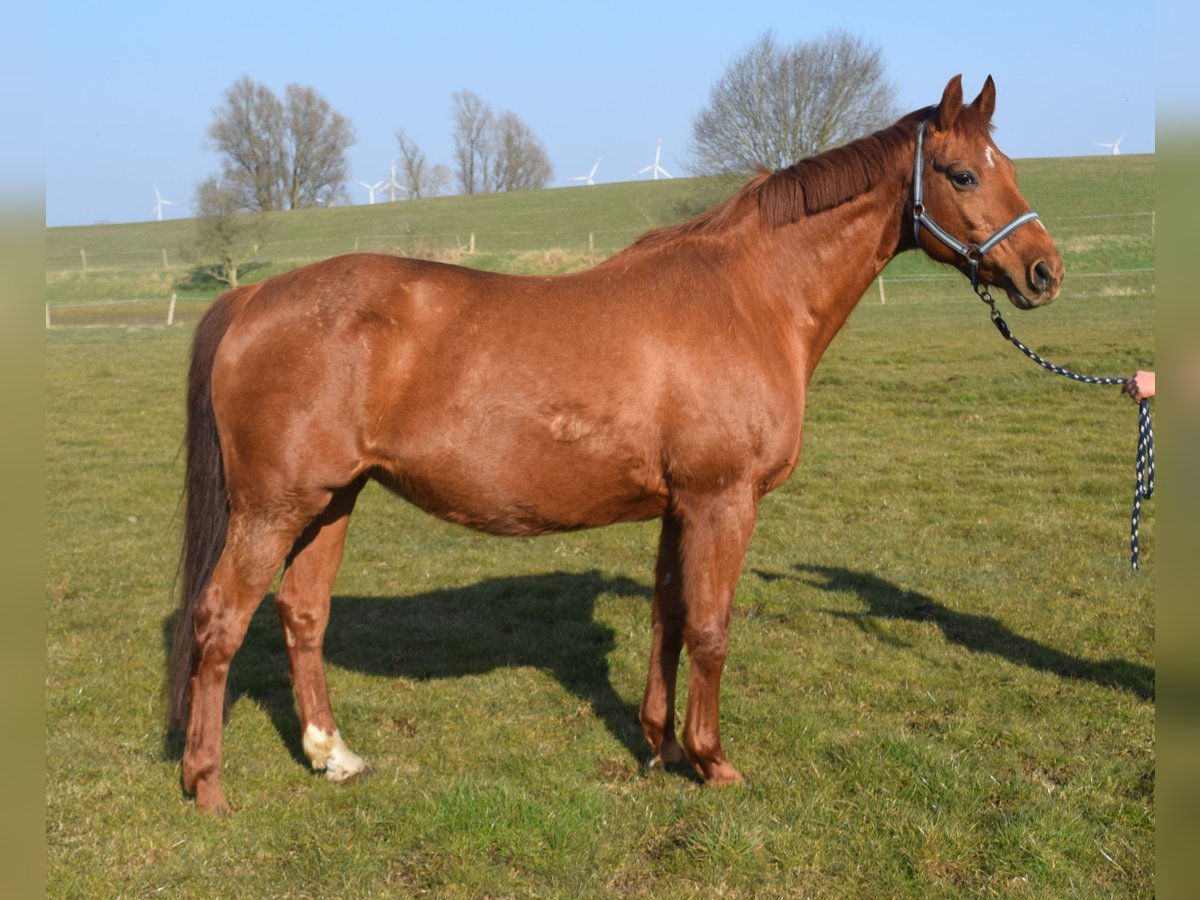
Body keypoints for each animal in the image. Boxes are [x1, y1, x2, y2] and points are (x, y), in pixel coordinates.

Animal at [166, 74, 1060, 816]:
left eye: (1008, 163)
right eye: (962, 174)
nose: (1044, 270)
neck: (748, 297)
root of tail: (253, 298)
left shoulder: (678, 507)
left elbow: (669, 615)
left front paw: (659, 746)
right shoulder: (722, 501)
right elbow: (711, 628)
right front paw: (713, 762)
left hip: (329, 501)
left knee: (302, 612)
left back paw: (332, 756)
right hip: (274, 508)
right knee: (220, 620)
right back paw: (207, 784)